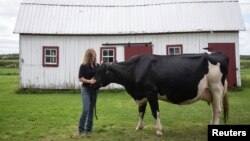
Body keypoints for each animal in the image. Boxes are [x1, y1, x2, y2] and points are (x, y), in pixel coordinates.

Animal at [95, 52, 229, 136]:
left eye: (101, 71)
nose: (92, 82)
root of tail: (219, 54)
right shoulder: (142, 95)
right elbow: (141, 112)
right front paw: (139, 127)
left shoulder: (151, 92)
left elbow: (155, 112)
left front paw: (159, 131)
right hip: (211, 92)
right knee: (214, 110)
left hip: (216, 88)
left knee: (217, 110)